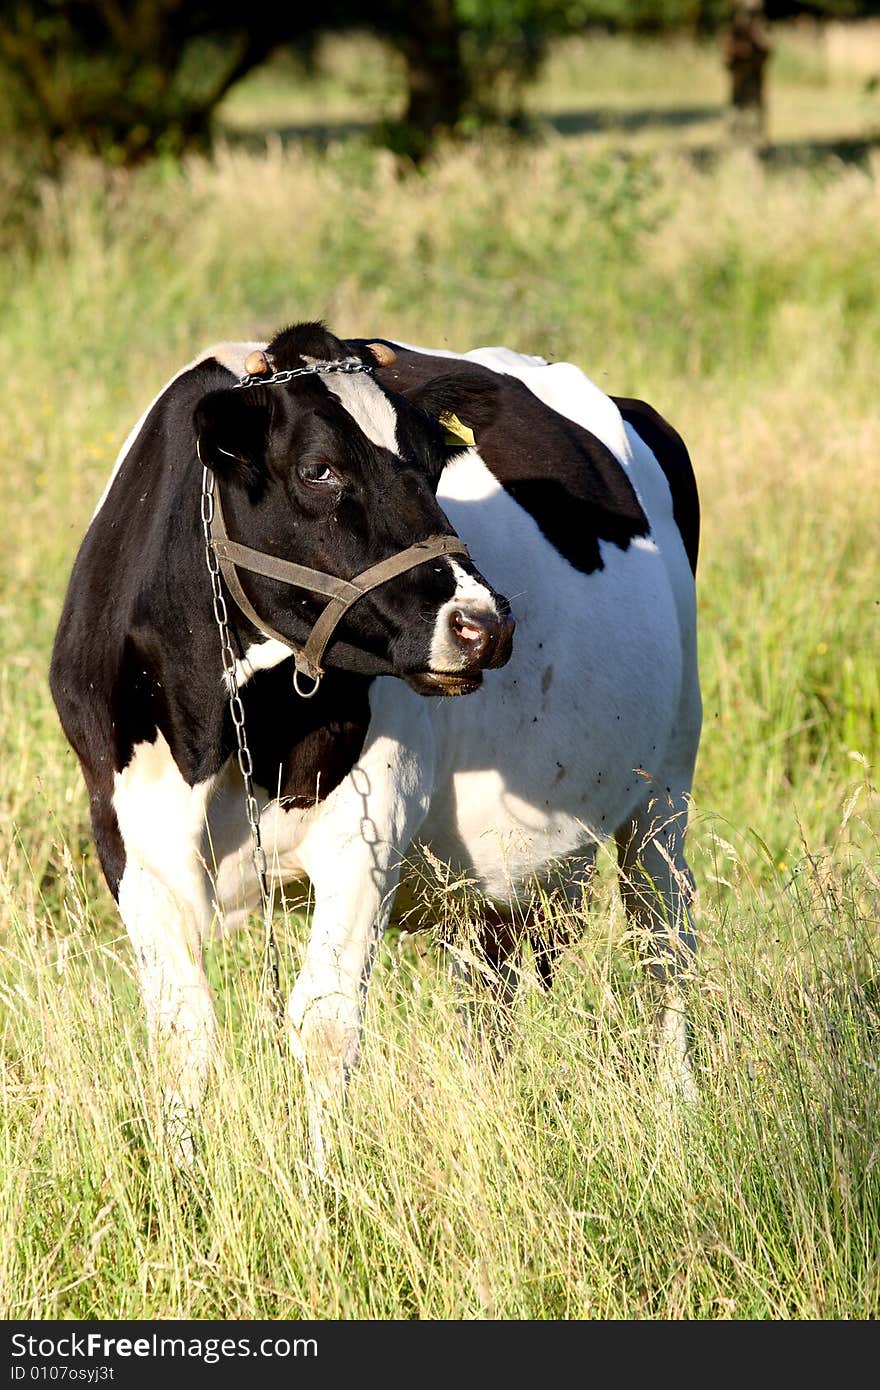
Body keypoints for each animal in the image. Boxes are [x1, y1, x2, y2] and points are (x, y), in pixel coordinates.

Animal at [53, 319, 700, 1156]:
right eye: (317, 469)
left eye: (432, 463)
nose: (484, 624)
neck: (220, 736)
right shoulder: (125, 835)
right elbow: (181, 1029)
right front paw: (177, 1176)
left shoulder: (370, 823)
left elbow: (326, 1024)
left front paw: (323, 1180)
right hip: (493, 885)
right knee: (485, 999)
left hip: (667, 790)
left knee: (664, 948)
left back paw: (681, 1110)